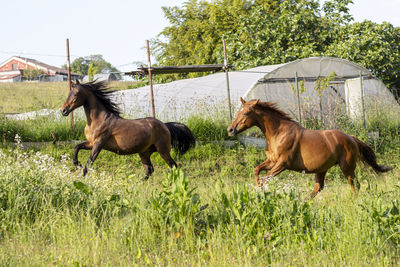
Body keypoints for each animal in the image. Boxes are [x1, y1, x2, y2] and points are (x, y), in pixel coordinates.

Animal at [60, 80, 195, 179]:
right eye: (69, 93)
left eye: (76, 93)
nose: (63, 110)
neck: (97, 120)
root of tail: (165, 125)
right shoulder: (91, 143)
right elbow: (77, 147)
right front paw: (77, 164)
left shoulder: (98, 144)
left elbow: (89, 162)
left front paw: (82, 177)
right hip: (144, 153)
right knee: (149, 169)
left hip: (163, 150)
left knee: (173, 166)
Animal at [227, 98, 392, 197]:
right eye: (238, 112)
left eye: (246, 113)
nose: (230, 130)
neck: (278, 133)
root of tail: (351, 138)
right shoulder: (272, 162)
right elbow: (257, 171)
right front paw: (258, 191)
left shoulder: (282, 164)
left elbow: (263, 179)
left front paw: (261, 194)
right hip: (322, 169)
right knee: (318, 188)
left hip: (347, 168)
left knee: (355, 185)